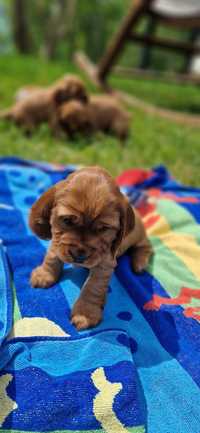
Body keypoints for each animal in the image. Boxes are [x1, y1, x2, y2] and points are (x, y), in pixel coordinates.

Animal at [29, 165, 152, 328]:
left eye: (103, 228)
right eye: (67, 220)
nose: (78, 255)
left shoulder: (105, 263)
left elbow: (92, 287)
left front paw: (85, 313)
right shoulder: (57, 242)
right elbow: (51, 257)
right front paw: (44, 275)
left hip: (138, 235)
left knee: (146, 245)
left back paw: (140, 263)